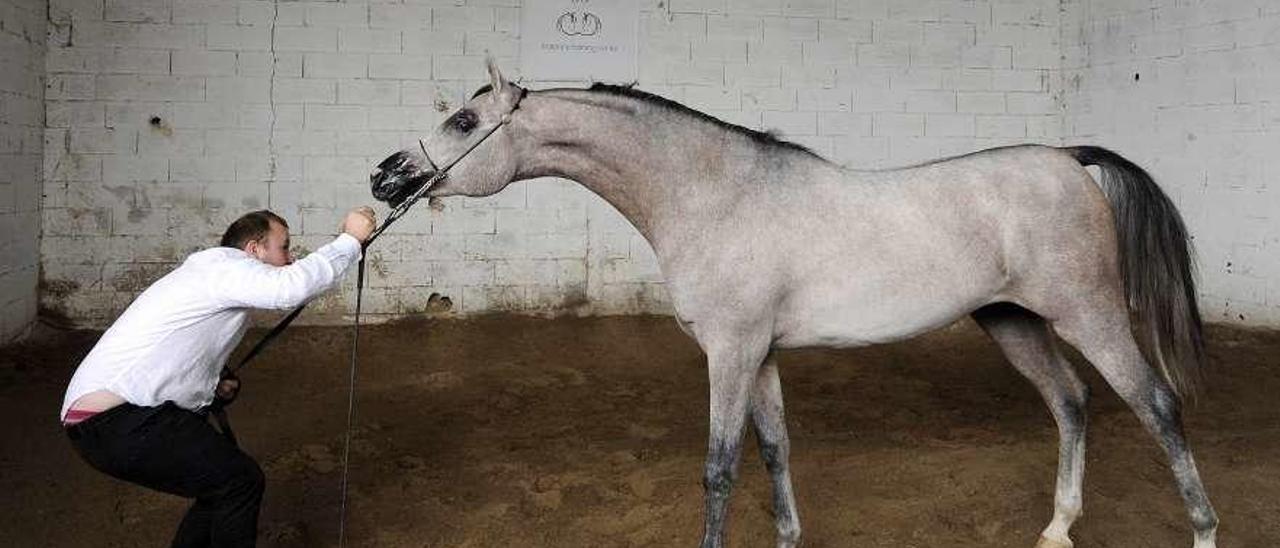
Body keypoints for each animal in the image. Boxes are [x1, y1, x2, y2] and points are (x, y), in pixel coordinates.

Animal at [368, 62, 1218, 548]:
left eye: (466, 121)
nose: (385, 176)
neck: (716, 194)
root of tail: (1069, 158)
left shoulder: (731, 352)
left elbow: (719, 469)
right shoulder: (762, 354)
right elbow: (775, 450)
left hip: (1089, 314)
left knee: (1157, 405)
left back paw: (1203, 530)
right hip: (1013, 321)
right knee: (1072, 403)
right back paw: (1057, 528)